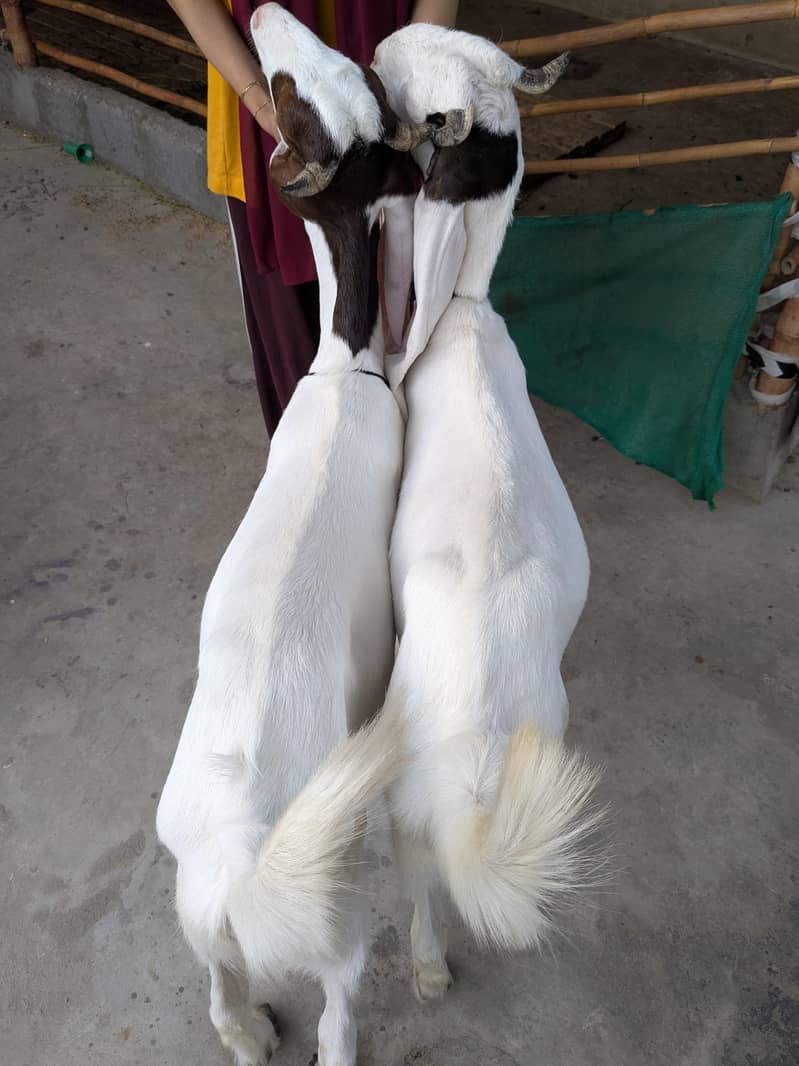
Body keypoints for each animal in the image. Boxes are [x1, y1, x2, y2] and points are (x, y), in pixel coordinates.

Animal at [155, 8, 458, 1064]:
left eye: (333, 78)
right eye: (299, 90)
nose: (260, 18)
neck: (347, 367)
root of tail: (239, 871)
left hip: (193, 898)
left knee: (217, 982)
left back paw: (245, 1030)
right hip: (327, 916)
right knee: (334, 1005)